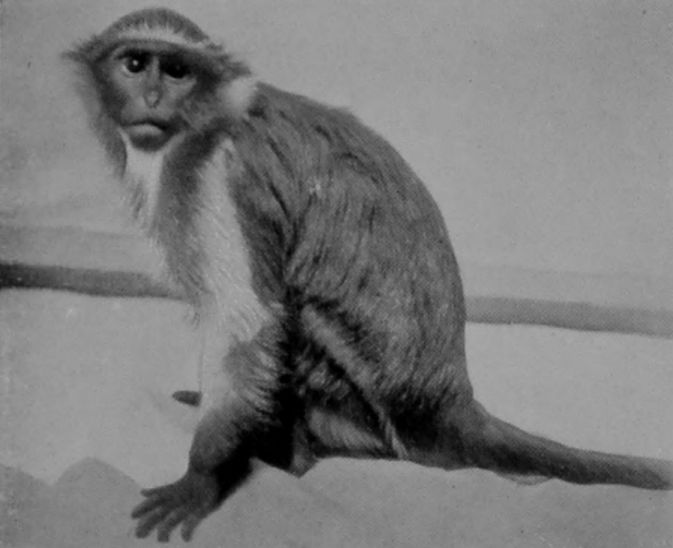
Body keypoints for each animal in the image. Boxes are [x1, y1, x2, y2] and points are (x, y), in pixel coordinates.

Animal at [65, 8, 673, 543]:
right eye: (135, 64)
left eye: (176, 71)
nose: (152, 98)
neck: (204, 129)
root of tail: (448, 404)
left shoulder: (227, 179)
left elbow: (251, 321)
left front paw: (203, 476)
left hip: (352, 390)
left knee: (294, 317)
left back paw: (288, 454)